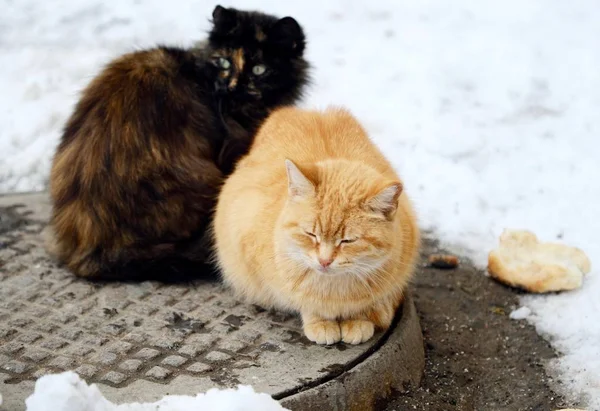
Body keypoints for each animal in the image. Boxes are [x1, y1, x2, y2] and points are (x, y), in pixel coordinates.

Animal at [213, 106, 420, 344]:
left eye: (348, 240)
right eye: (311, 235)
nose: (324, 261)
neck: (335, 291)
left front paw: (357, 320)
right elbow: (305, 301)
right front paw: (320, 321)